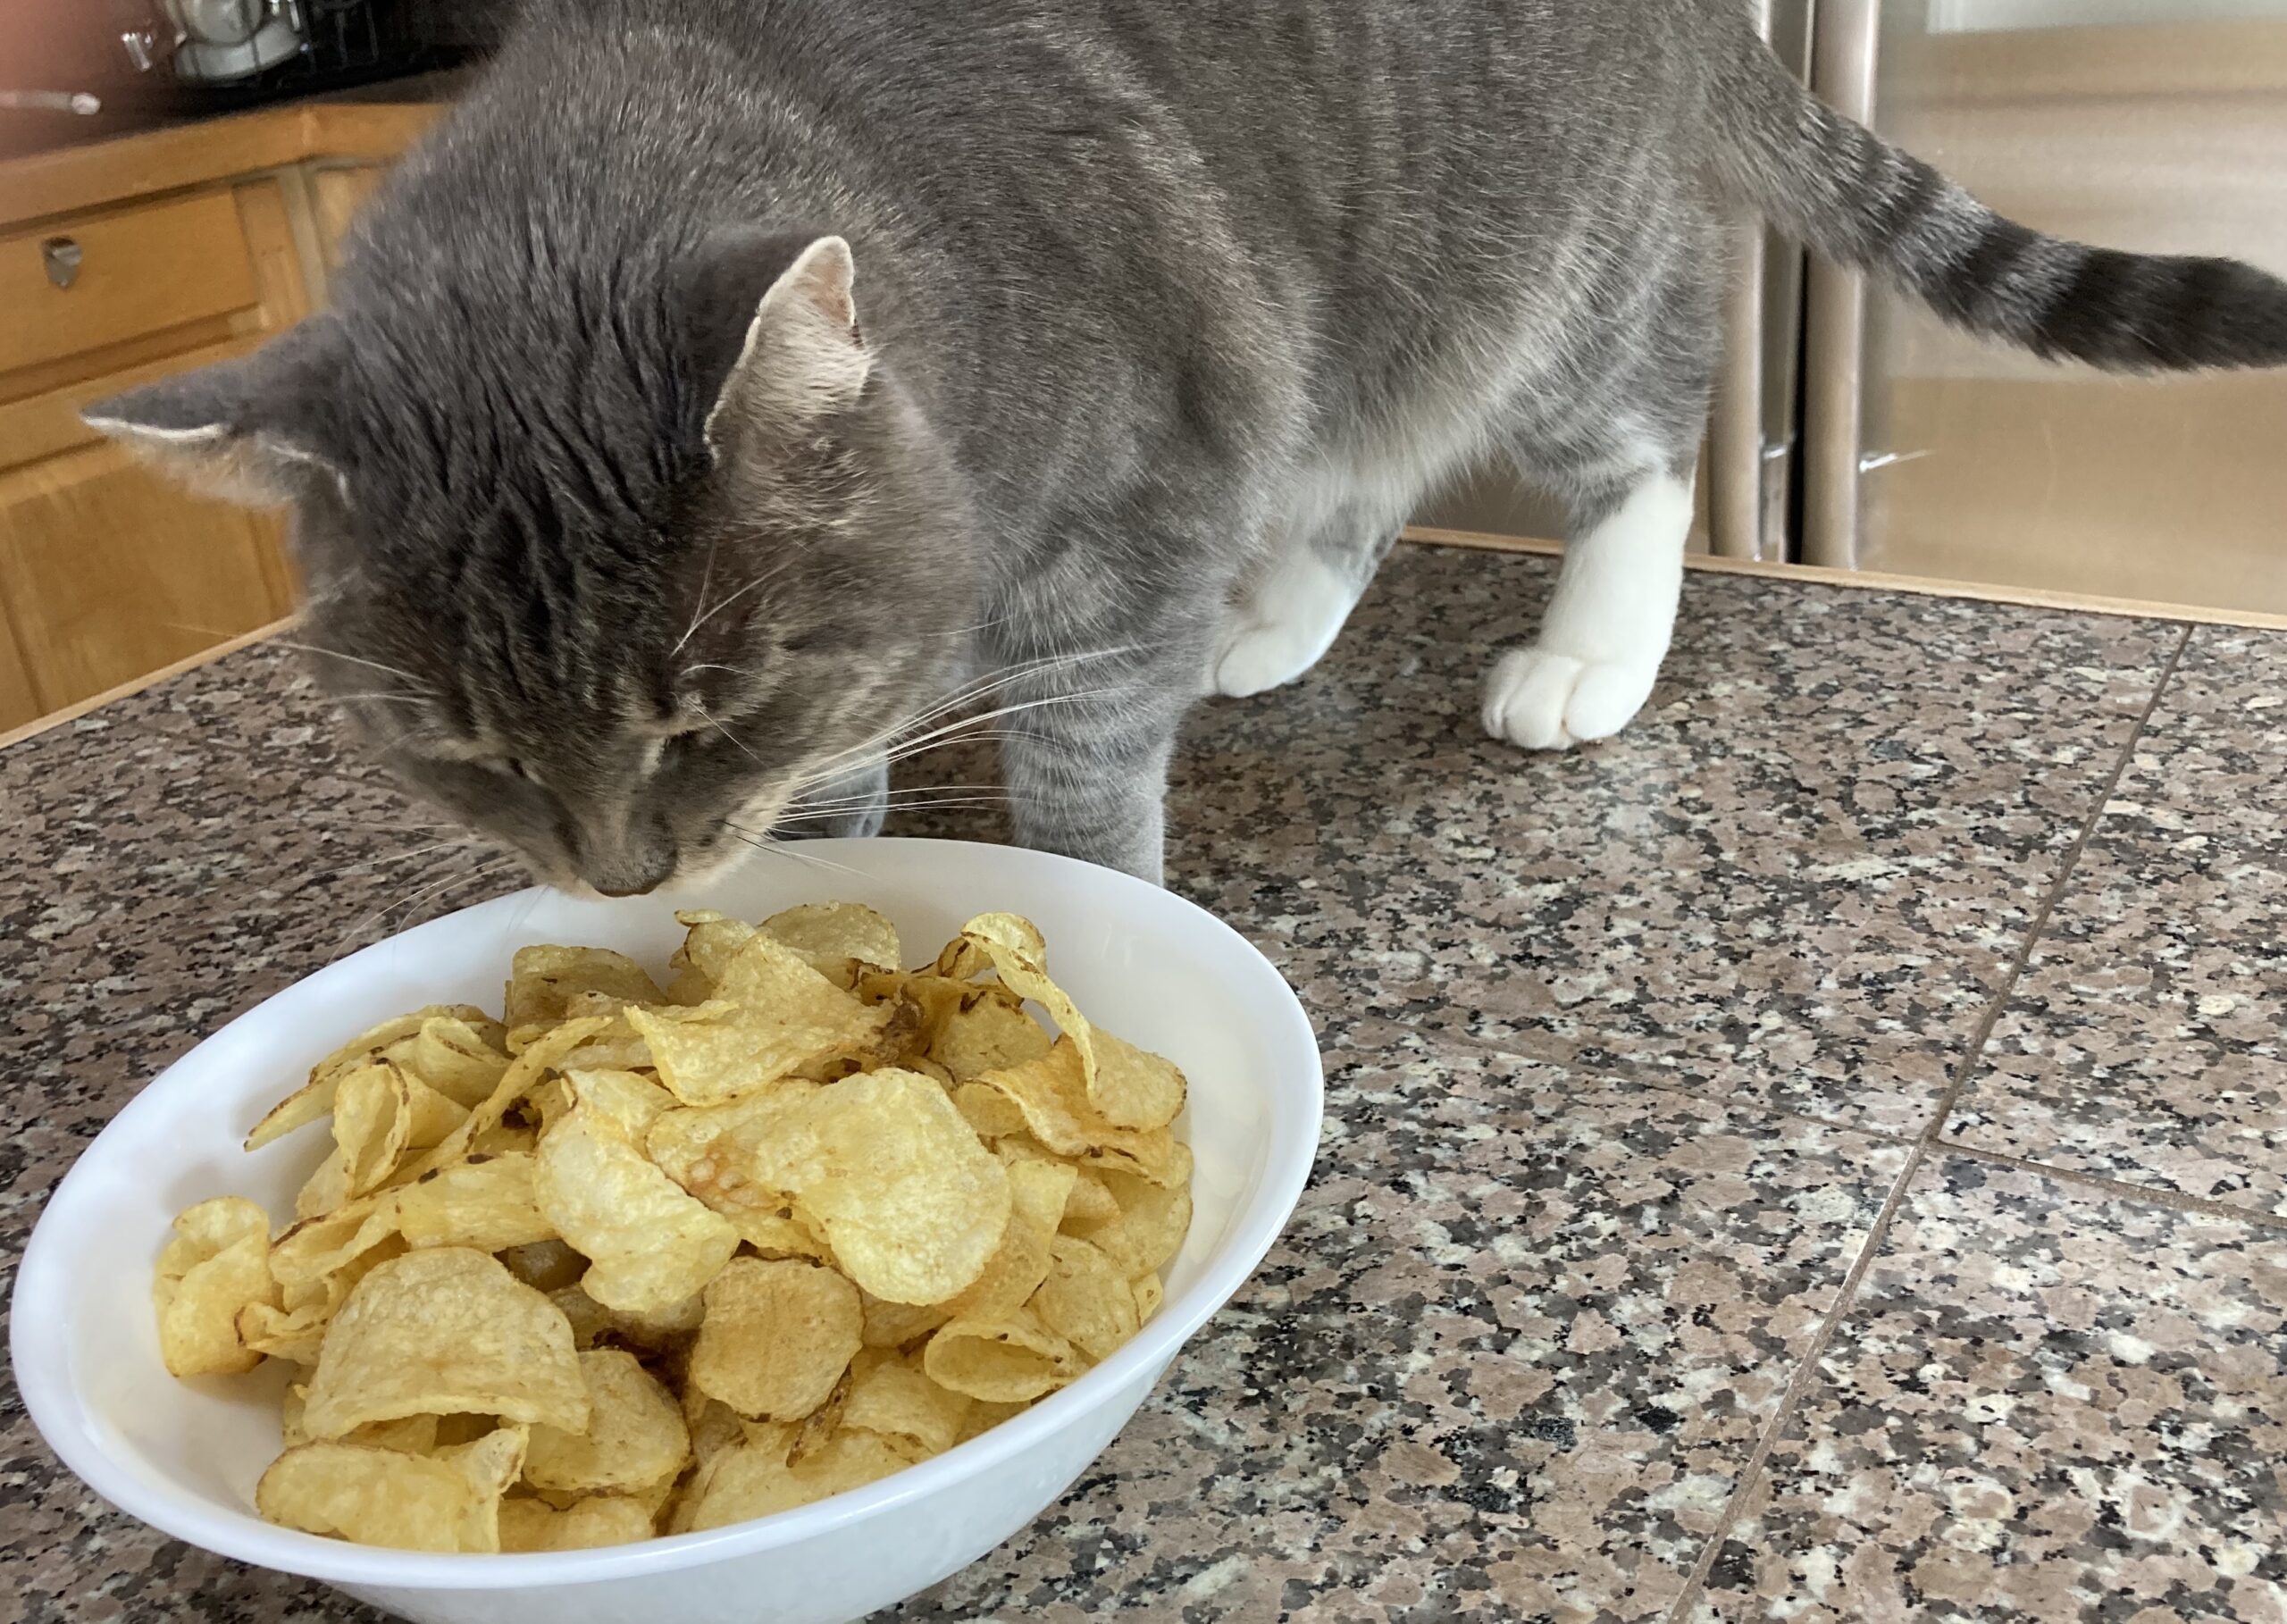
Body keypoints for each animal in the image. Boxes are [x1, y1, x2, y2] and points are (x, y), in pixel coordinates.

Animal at [98, 0, 2287, 892]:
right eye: (462, 751)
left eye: (707, 704)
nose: (625, 879)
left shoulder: (1129, 513)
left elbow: (1078, 775)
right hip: (1318, 329)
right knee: (1348, 476)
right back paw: (1282, 624)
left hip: (1513, 277)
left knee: (1646, 423)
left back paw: (1593, 643)